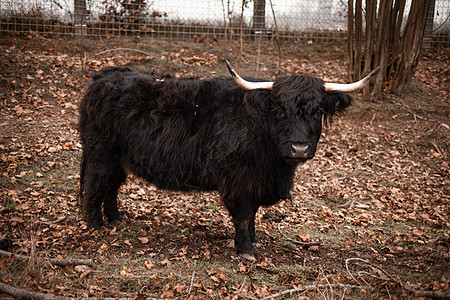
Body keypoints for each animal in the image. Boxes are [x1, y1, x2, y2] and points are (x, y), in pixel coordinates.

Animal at [79, 61, 378, 260]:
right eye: (281, 110)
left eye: (317, 111)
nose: (299, 147)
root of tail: (103, 77)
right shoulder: (240, 179)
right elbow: (244, 215)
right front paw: (246, 250)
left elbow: (253, 214)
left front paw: (254, 240)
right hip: (101, 154)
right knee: (95, 187)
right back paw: (96, 226)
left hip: (118, 159)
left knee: (112, 187)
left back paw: (117, 219)